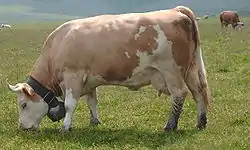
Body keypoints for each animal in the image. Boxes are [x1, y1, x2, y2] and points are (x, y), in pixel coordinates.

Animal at [7, 5, 211, 132]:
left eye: (23, 104)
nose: (22, 127)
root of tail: (176, 11)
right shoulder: (88, 80)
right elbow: (92, 102)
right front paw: (94, 122)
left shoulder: (73, 75)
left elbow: (70, 104)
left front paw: (65, 127)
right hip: (191, 70)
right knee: (199, 92)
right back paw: (200, 123)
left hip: (172, 71)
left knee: (180, 94)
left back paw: (170, 126)